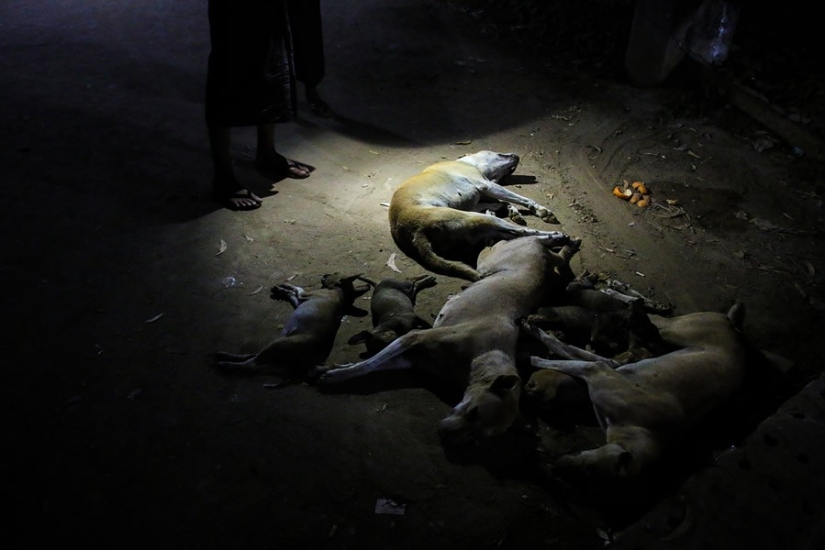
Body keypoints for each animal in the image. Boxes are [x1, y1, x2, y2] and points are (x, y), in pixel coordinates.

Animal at [215, 273, 372, 381]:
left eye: (333, 273)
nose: (324, 274)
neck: (340, 292)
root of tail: (309, 363)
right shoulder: (299, 301)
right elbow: (292, 294)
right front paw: (282, 290)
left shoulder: (305, 294)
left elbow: (297, 288)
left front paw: (283, 288)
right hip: (275, 348)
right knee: (254, 356)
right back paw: (226, 355)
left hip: (278, 343)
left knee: (252, 363)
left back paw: (227, 364)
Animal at [316, 234, 579, 446]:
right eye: (474, 412)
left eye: (478, 438)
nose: (444, 436)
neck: (480, 357)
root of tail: (545, 259)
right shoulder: (413, 338)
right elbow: (369, 363)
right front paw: (336, 374)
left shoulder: (414, 358)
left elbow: (374, 363)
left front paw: (335, 368)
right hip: (489, 262)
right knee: (501, 244)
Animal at [389, 150, 567, 281]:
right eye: (499, 154)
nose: (516, 155)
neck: (466, 162)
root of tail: (416, 234)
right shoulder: (486, 185)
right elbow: (521, 199)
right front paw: (541, 210)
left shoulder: (478, 201)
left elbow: (502, 202)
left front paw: (513, 211)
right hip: (476, 218)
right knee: (522, 231)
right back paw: (555, 236)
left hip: (477, 224)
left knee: (513, 235)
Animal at [520, 302, 747, 478]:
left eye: (590, 471)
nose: (554, 469)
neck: (641, 429)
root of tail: (732, 325)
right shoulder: (599, 368)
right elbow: (566, 351)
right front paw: (536, 344)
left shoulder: (600, 369)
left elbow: (574, 354)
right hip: (670, 327)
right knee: (639, 312)